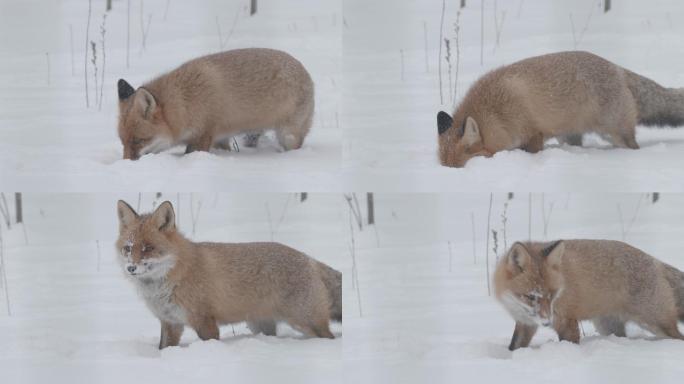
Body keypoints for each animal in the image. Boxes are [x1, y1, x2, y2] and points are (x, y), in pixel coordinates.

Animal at [116, 47, 314, 159]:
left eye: (138, 140)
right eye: (123, 141)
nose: (126, 164)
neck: (185, 101)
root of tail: (306, 71)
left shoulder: (203, 135)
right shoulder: (219, 138)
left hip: (288, 136)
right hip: (252, 134)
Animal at [117, 200, 344, 350]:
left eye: (148, 248)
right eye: (128, 248)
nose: (131, 268)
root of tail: (310, 259)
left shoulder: (205, 321)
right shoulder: (170, 322)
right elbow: (163, 348)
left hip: (306, 322)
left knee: (329, 337)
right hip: (260, 325)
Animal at [436, 50, 684, 166]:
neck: (496, 113)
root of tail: (618, 69)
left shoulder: (533, 133)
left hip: (616, 133)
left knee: (633, 146)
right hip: (570, 136)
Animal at [492, 240, 684, 352]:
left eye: (552, 295)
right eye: (531, 297)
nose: (547, 322)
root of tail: (657, 262)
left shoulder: (567, 321)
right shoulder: (525, 323)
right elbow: (514, 347)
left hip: (656, 323)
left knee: (678, 337)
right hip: (608, 327)